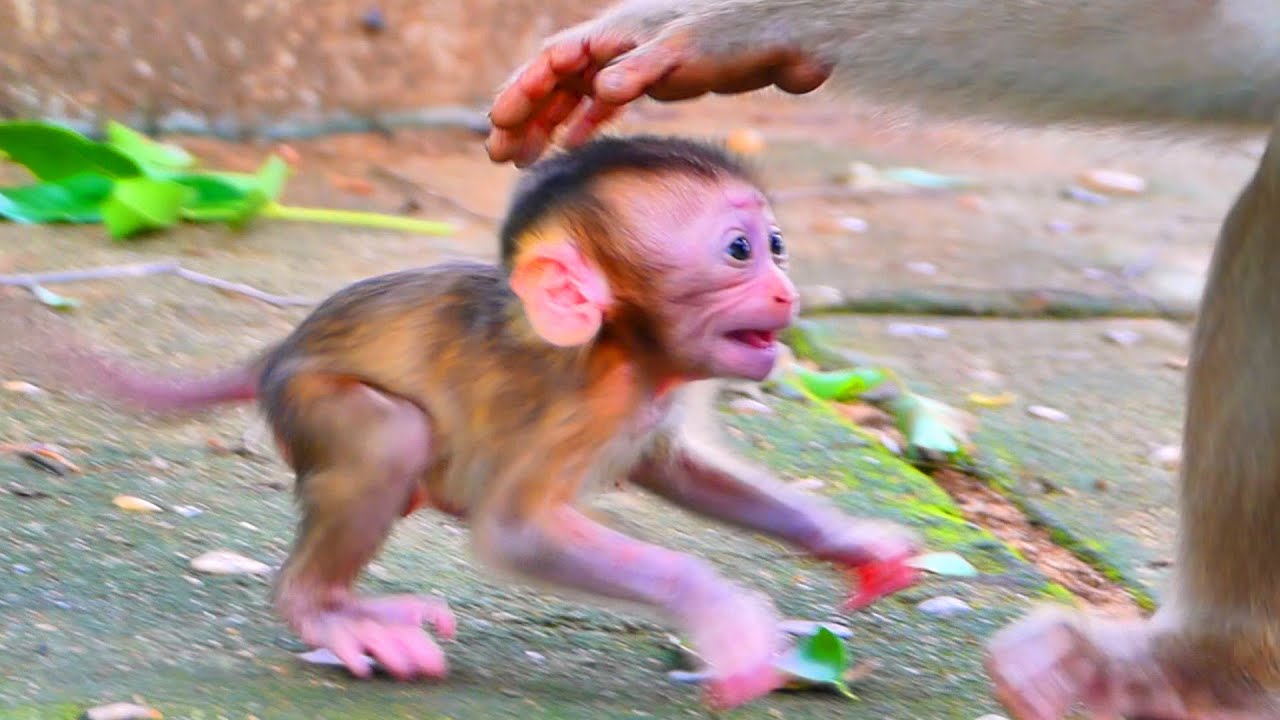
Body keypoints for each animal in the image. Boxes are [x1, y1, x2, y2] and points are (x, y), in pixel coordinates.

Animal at [16, 135, 921, 711]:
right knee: (390, 437)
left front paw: (859, 545)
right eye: (739, 250)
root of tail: (285, 347)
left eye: (778, 243)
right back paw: (324, 609)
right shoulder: (576, 408)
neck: (627, 353)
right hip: (313, 395)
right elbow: (516, 533)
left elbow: (678, 468)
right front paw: (725, 618)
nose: (784, 292)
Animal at [480, 2, 1280, 718]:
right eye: (740, 251)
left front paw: (732, 29)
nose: (784, 293)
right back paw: (1198, 667)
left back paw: (1198, 671)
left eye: (775, 247)